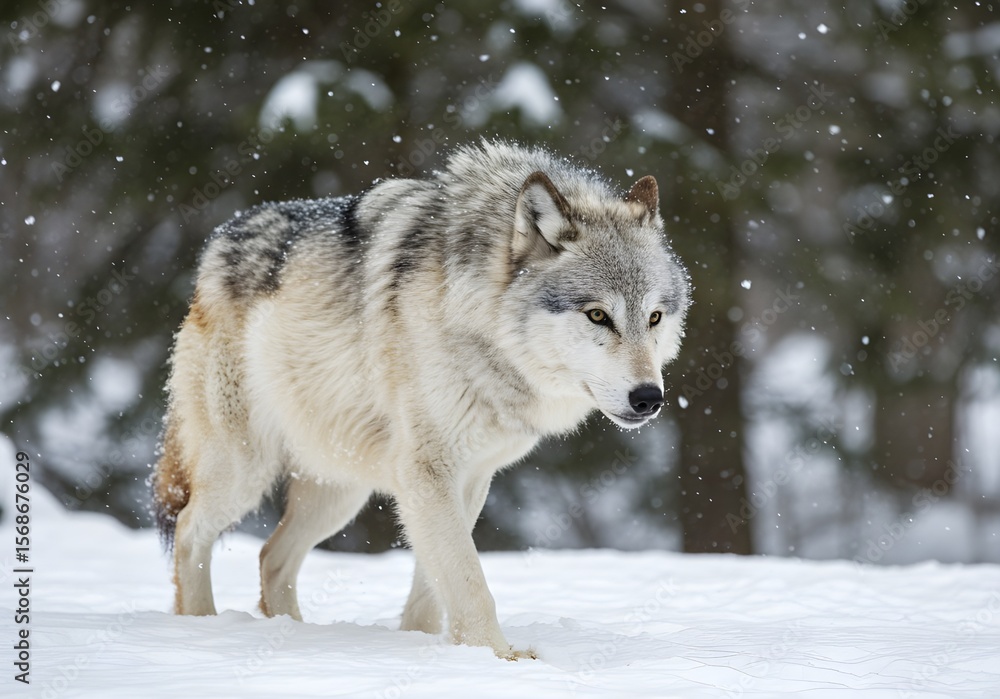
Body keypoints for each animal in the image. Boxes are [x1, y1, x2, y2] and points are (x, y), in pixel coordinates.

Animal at [152, 140, 691, 659]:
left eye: (655, 317)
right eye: (598, 315)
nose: (649, 398)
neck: (477, 322)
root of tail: (216, 245)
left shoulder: (471, 478)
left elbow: (434, 587)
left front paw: (428, 646)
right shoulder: (427, 473)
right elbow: (469, 581)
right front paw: (501, 660)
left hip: (339, 490)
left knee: (270, 557)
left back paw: (291, 634)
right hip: (245, 471)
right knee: (189, 531)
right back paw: (201, 628)